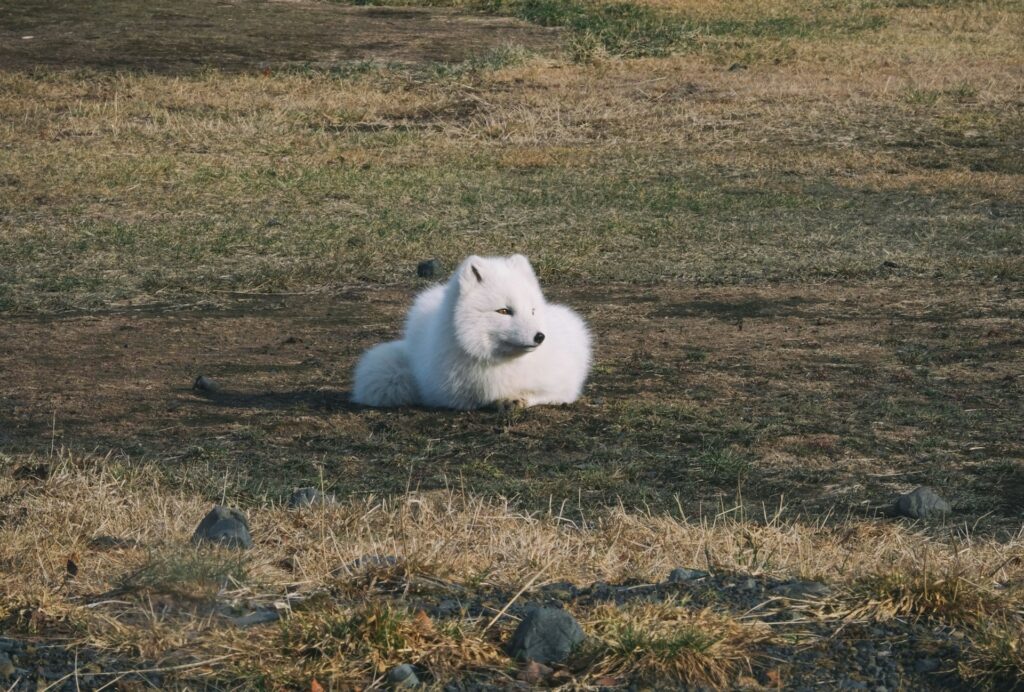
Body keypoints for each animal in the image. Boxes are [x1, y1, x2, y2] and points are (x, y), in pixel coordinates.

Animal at [351, 254, 592, 410]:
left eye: (532, 311)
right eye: (504, 311)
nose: (539, 337)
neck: (503, 362)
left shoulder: (565, 386)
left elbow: (543, 394)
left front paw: (515, 398)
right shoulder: (447, 395)